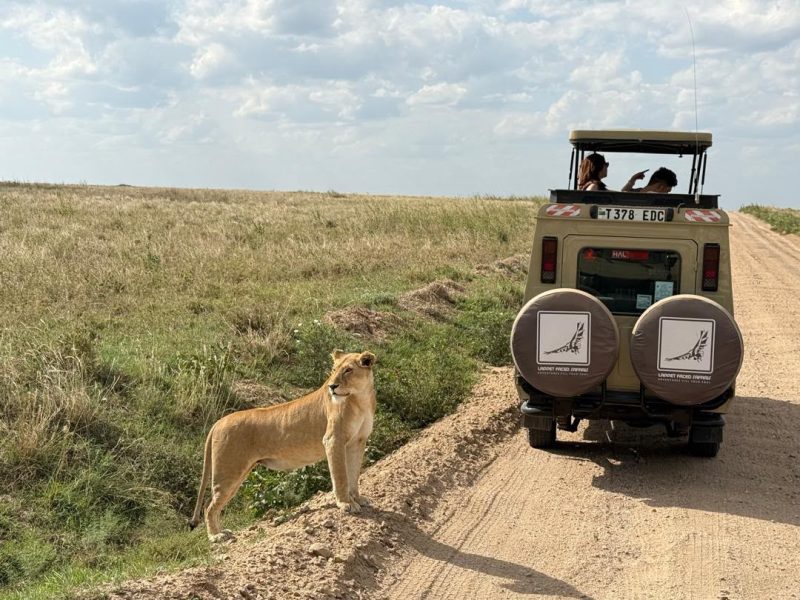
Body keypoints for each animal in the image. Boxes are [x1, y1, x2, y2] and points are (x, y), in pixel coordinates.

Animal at [188, 350, 377, 542]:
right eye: (333, 369)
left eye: (348, 370)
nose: (332, 386)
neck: (360, 398)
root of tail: (218, 422)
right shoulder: (333, 440)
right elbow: (341, 476)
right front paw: (345, 503)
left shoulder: (357, 441)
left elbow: (354, 474)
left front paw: (357, 499)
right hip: (228, 472)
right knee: (209, 506)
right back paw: (216, 536)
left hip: (237, 473)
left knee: (213, 504)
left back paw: (221, 532)